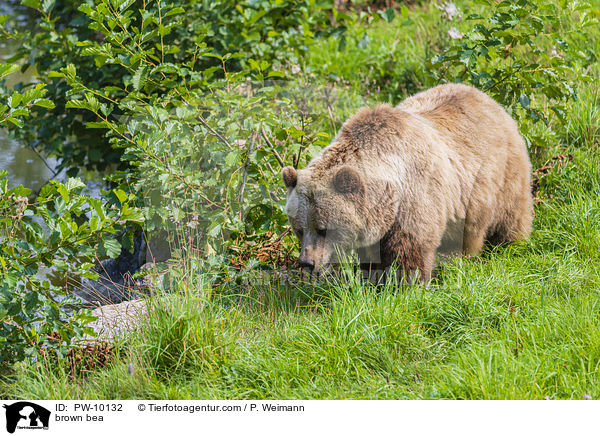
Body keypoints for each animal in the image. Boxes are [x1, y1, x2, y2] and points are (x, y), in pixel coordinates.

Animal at [284, 83, 532, 282]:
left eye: (323, 229)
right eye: (299, 229)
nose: (306, 262)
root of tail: (488, 98)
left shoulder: (414, 198)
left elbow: (410, 250)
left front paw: (405, 284)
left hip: (501, 174)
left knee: (508, 217)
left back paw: (510, 246)